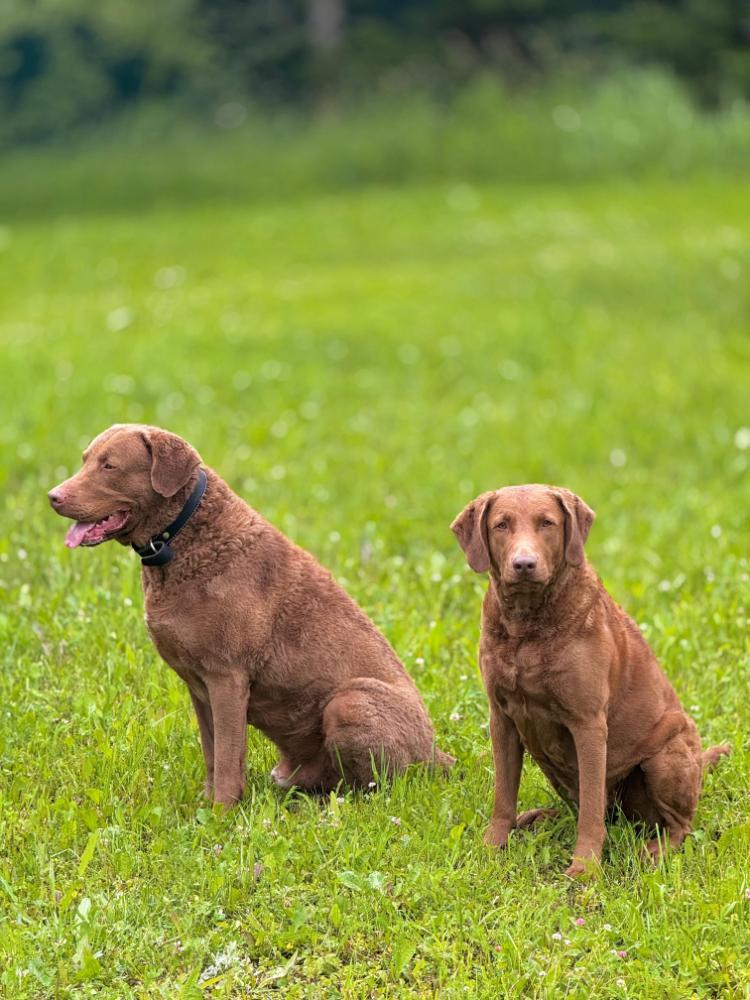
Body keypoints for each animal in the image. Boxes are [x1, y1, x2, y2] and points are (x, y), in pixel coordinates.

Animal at [49, 424, 452, 806]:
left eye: (109, 466)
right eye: (85, 459)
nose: (53, 497)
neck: (182, 539)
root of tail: (437, 753)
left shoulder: (227, 676)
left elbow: (229, 757)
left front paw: (221, 813)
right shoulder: (199, 685)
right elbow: (212, 753)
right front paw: (205, 804)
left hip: (350, 703)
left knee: (376, 786)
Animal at [451, 484, 729, 876]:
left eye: (547, 523)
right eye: (501, 525)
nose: (524, 564)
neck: (526, 628)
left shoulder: (588, 724)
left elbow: (591, 813)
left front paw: (584, 869)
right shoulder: (501, 718)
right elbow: (504, 796)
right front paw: (493, 848)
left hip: (666, 756)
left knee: (679, 826)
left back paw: (654, 850)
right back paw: (539, 818)